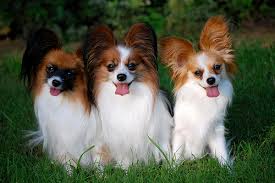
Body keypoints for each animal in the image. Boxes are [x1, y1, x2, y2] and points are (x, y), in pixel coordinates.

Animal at [21, 27, 101, 171]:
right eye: (50, 68)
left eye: (69, 73)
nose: (55, 82)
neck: (67, 100)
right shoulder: (62, 140)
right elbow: (67, 160)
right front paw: (69, 173)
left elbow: (98, 158)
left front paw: (101, 174)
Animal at [82, 23, 172, 168]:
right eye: (110, 66)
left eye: (131, 65)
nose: (121, 76)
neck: (127, 99)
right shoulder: (120, 138)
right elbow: (125, 159)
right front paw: (125, 170)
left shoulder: (161, 132)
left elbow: (166, 152)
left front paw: (171, 168)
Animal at [161, 15, 236, 165]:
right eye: (197, 73)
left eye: (217, 67)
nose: (211, 80)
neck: (202, 99)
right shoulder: (179, 132)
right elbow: (176, 154)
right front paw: (173, 168)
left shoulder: (216, 131)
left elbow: (222, 153)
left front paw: (227, 168)